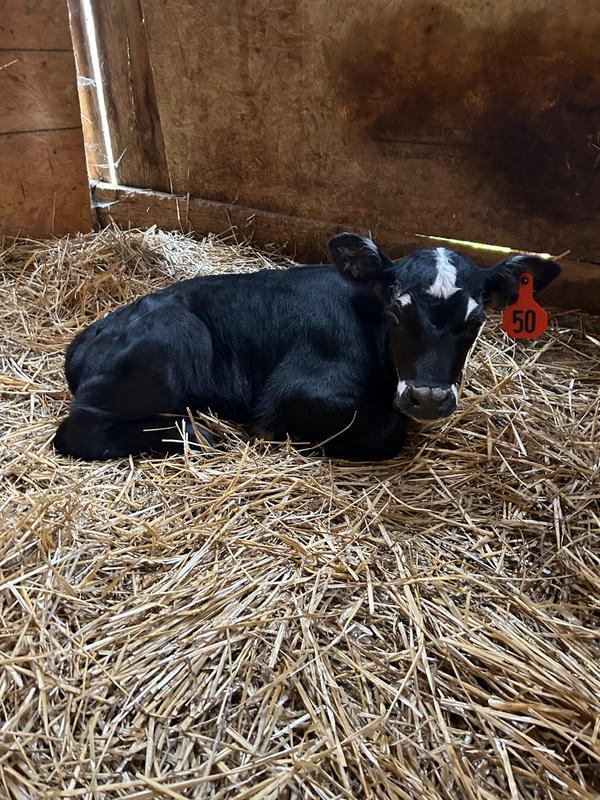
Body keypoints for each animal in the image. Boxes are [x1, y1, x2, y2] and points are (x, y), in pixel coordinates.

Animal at [53, 233, 560, 462]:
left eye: (474, 321)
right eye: (396, 312)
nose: (428, 397)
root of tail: (91, 332)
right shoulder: (294, 392)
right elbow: (388, 429)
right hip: (173, 336)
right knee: (78, 430)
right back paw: (199, 434)